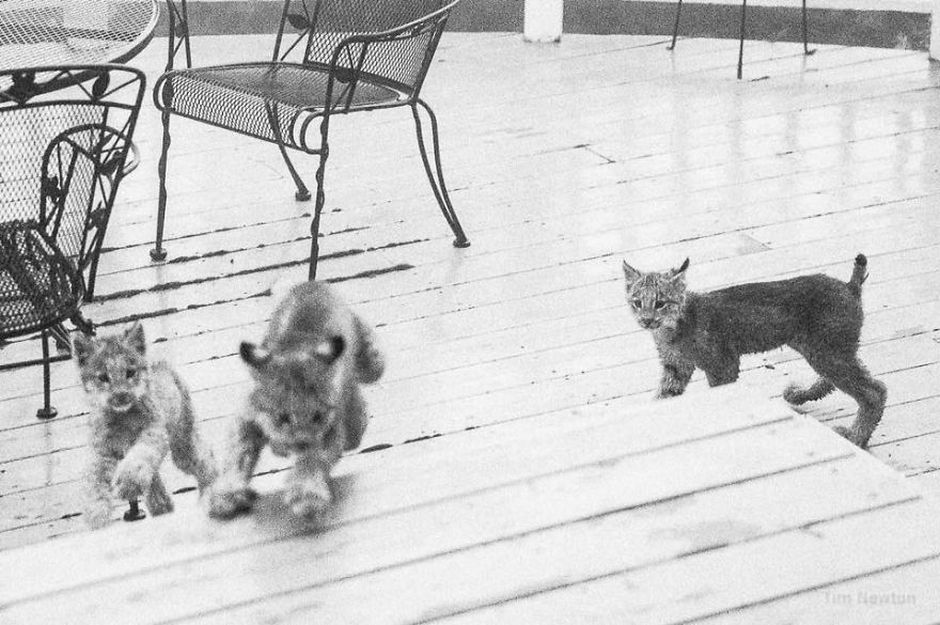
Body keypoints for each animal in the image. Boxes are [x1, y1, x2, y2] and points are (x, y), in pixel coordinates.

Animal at [74, 320, 218, 528]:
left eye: (130, 372)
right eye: (103, 377)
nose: (121, 395)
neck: (122, 416)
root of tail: (160, 362)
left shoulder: (153, 433)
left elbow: (138, 457)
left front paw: (127, 484)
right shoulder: (103, 451)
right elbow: (94, 480)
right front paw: (96, 514)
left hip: (182, 446)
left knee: (205, 459)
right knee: (155, 483)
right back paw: (161, 506)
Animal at [207, 280, 384, 520]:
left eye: (317, 416)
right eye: (282, 417)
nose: (301, 443)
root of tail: (313, 283)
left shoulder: (330, 431)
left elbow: (313, 458)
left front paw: (307, 495)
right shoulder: (246, 418)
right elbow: (236, 455)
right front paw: (227, 493)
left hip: (373, 365)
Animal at [624, 255, 888, 448]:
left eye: (660, 303)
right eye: (637, 303)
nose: (646, 320)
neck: (670, 328)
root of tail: (849, 286)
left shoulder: (723, 363)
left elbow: (722, 393)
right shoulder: (676, 367)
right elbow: (663, 397)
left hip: (826, 350)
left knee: (875, 390)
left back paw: (856, 437)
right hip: (821, 348)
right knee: (840, 379)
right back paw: (800, 394)